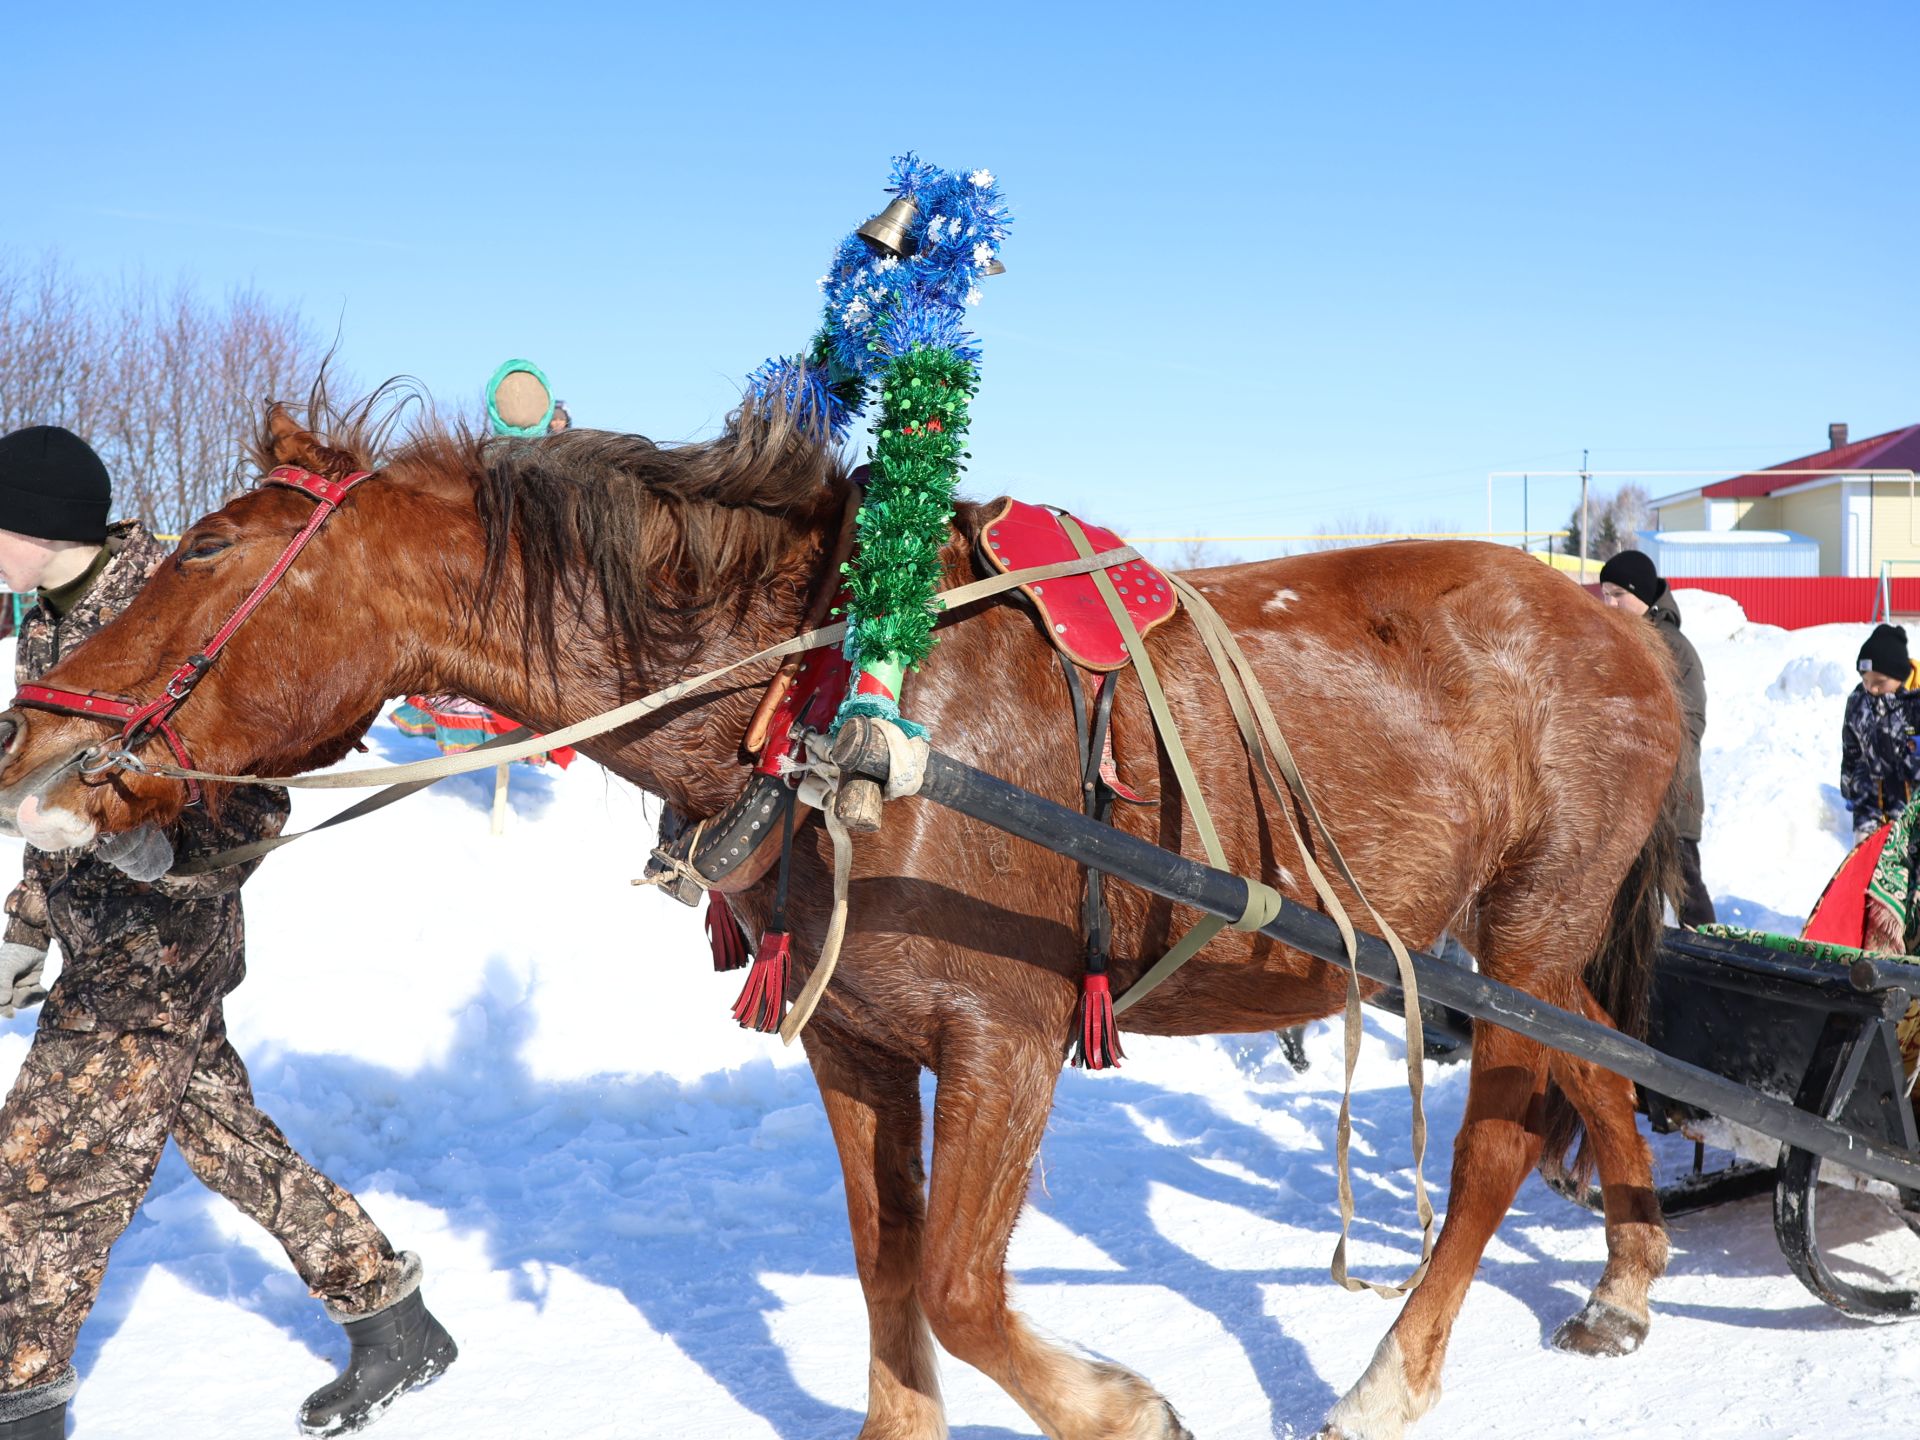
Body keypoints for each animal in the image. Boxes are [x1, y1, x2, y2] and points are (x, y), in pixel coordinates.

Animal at [0, 385, 1681, 1440]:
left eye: (206, 548)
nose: (28, 757)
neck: (830, 699)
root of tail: (1609, 611)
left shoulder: (1007, 1040)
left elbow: (962, 1289)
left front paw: (1124, 1407)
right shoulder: (856, 1044)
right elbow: (891, 1282)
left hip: (1526, 926)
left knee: (1500, 1137)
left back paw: (1395, 1375)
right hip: (1520, 945)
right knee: (1608, 1066)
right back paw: (1626, 1279)